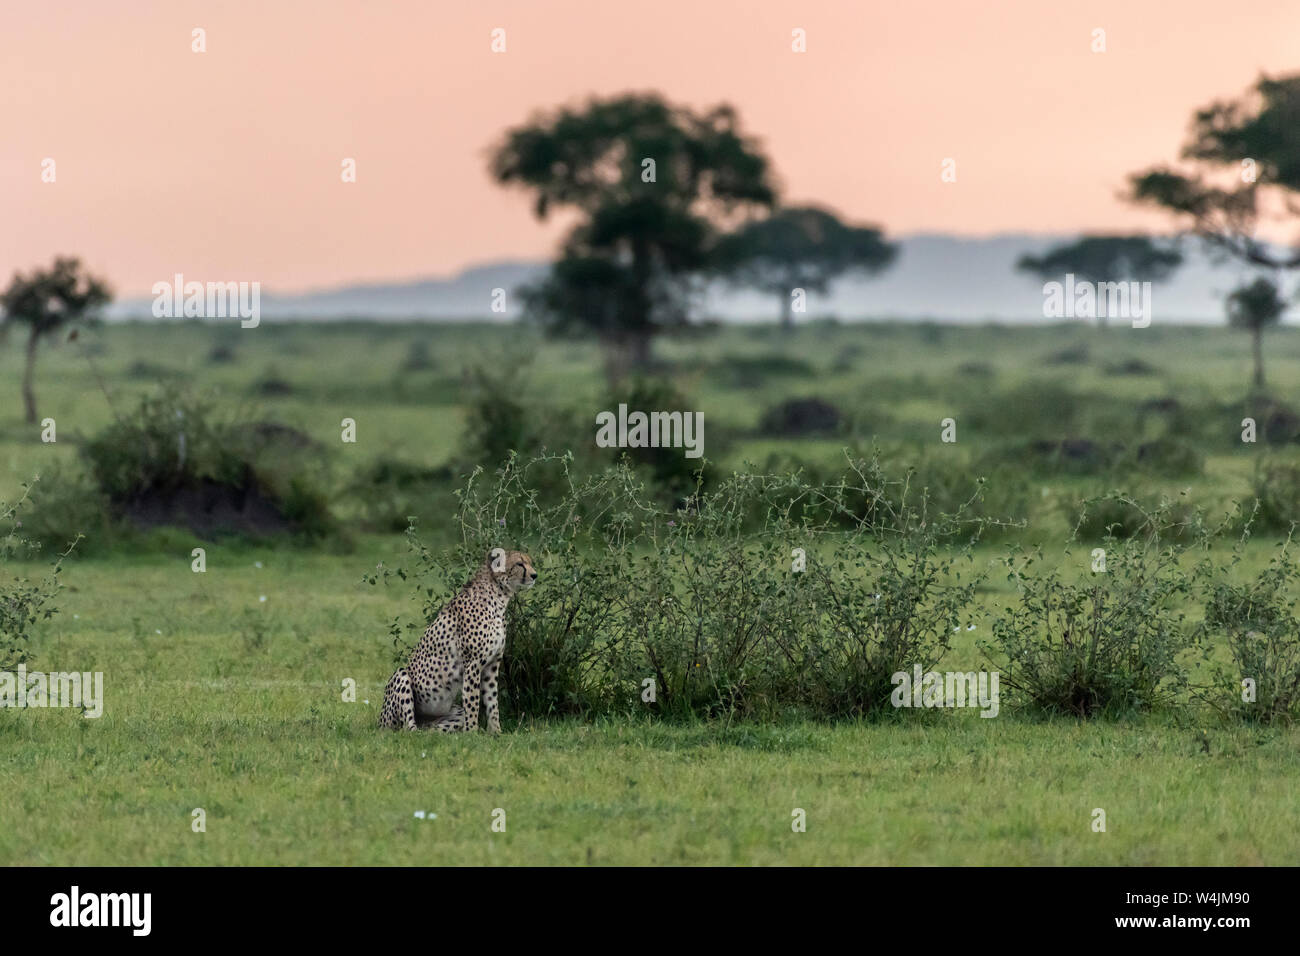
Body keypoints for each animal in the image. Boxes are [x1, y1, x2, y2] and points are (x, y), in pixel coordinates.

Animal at [377, 546, 538, 733]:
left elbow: (492, 703)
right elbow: (473, 702)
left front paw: (496, 733)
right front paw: (472, 734)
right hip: (401, 677)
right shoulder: (473, 663)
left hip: (449, 716)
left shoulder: (492, 665)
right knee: (407, 730)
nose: (535, 575)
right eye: (519, 563)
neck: (498, 597)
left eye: (530, 562)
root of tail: (379, 723)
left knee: (431, 732)